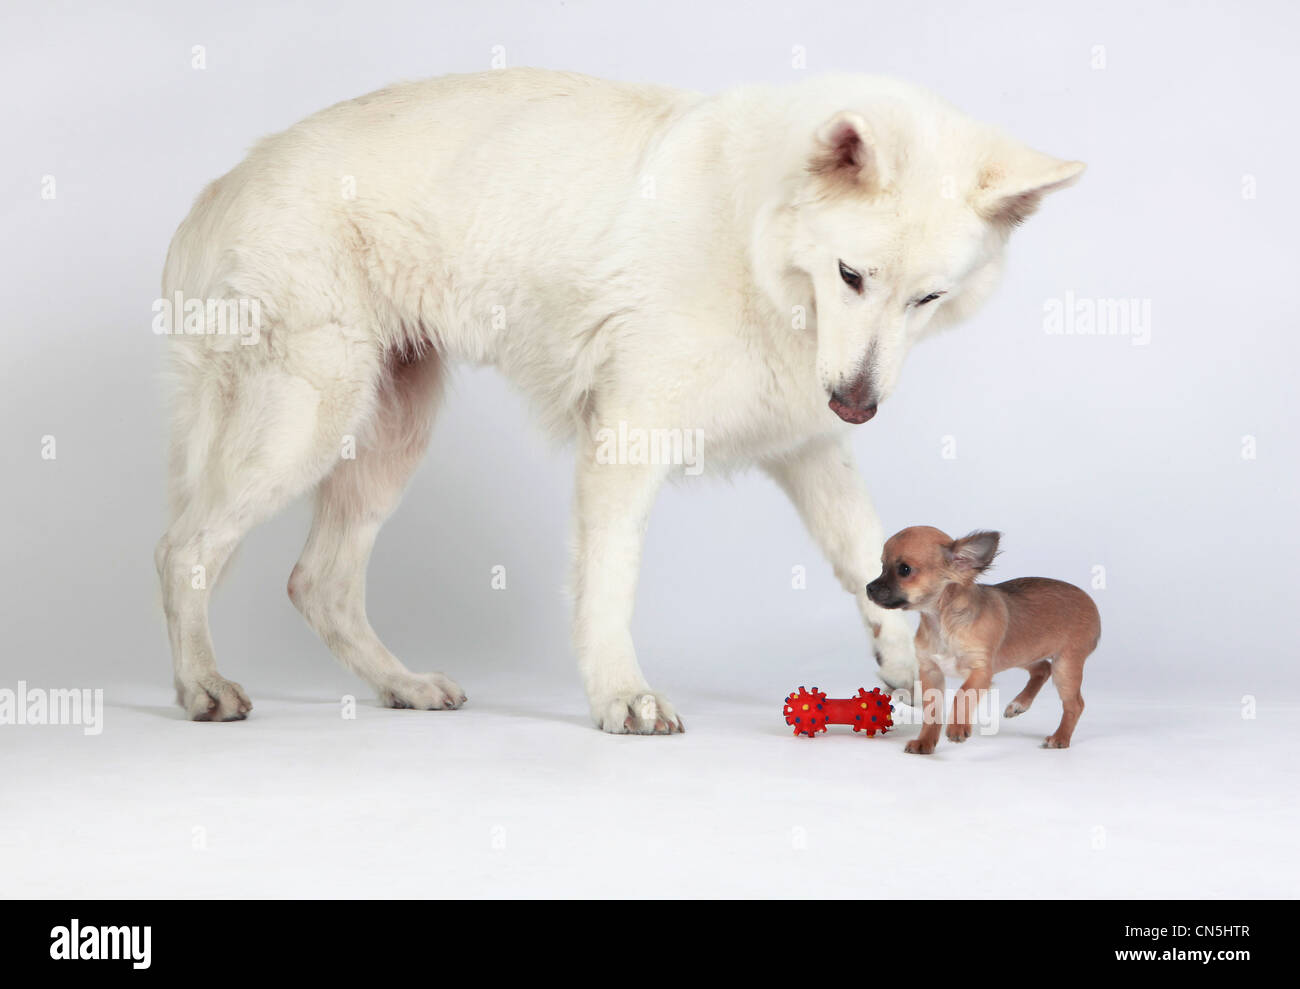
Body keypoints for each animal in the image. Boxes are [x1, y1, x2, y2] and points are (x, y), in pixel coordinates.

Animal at [157, 69, 1081, 727]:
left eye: (927, 298)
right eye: (853, 275)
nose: (858, 403)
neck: (755, 243)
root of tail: (226, 180)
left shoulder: (810, 446)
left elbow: (864, 550)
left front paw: (899, 654)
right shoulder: (626, 441)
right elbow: (609, 584)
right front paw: (620, 695)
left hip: (388, 435)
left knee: (317, 582)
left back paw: (402, 684)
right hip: (307, 419)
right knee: (183, 547)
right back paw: (201, 683)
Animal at [868, 527, 1102, 753]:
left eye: (904, 570)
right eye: (882, 566)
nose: (869, 588)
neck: (941, 623)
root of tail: (1089, 601)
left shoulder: (981, 671)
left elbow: (962, 694)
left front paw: (957, 728)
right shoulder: (931, 672)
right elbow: (932, 713)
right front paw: (924, 742)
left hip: (1064, 665)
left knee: (1075, 704)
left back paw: (1060, 738)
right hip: (1019, 653)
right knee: (1043, 668)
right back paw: (1019, 704)